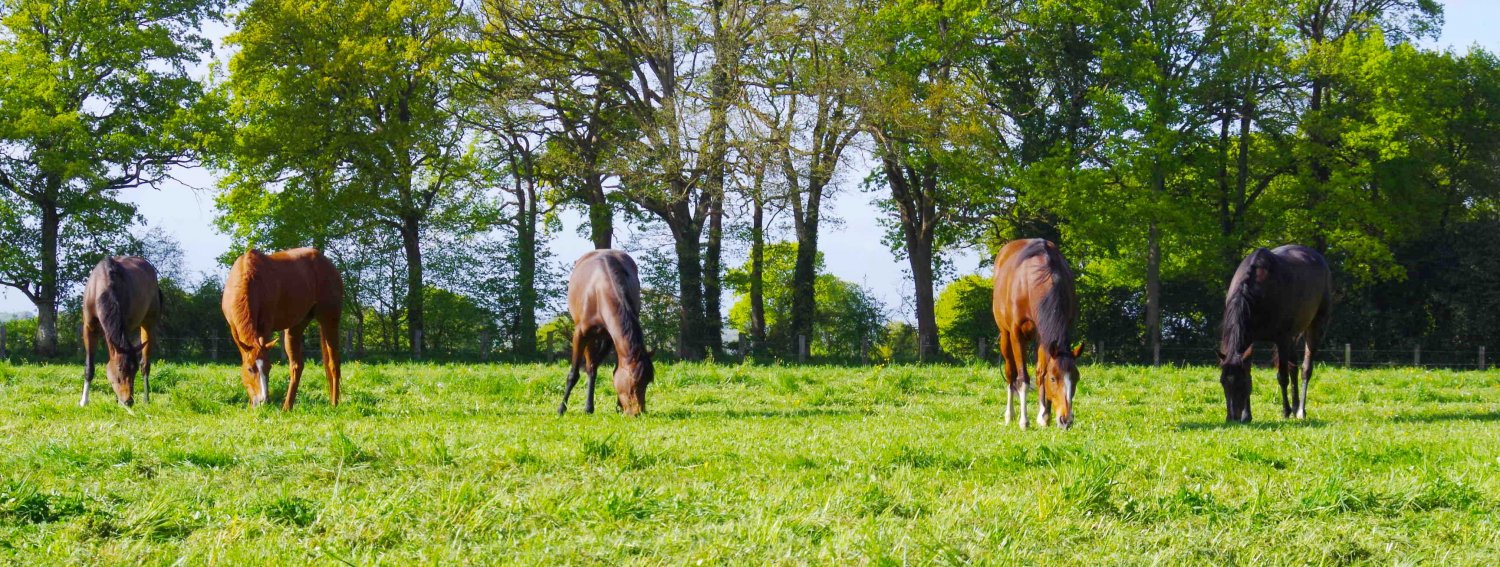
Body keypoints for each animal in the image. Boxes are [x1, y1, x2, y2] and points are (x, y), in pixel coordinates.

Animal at [80, 256, 162, 407]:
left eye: (134, 371)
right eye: (120, 369)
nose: (128, 401)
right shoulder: (89, 327)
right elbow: (89, 366)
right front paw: (84, 401)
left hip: (148, 324)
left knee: (145, 365)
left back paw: (146, 399)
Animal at [221, 248, 344, 410]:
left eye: (269, 367)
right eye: (250, 369)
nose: (264, 401)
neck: (247, 277)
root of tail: (328, 265)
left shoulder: (265, 328)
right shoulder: (233, 328)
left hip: (329, 321)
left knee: (333, 363)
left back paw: (334, 404)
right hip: (295, 327)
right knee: (297, 366)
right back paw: (287, 407)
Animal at [558, 249, 654, 416]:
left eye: (647, 383)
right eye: (633, 383)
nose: (637, 413)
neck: (599, 291)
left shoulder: (611, 338)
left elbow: (614, 370)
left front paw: (619, 406)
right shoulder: (580, 335)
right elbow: (573, 374)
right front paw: (561, 408)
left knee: (593, 366)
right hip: (589, 338)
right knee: (590, 366)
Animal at [992, 239, 1084, 430]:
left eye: (1076, 378)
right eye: (1054, 379)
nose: (1066, 420)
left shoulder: (1045, 337)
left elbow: (1041, 372)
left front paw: (1044, 416)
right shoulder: (1017, 334)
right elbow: (1023, 379)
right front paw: (1024, 421)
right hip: (1005, 335)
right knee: (1011, 373)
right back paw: (1010, 415)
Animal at [1217, 245, 1333, 423]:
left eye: (1239, 383)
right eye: (1223, 382)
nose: (1232, 418)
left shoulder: (1282, 339)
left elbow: (1282, 377)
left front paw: (1285, 412)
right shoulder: (1250, 340)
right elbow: (1250, 372)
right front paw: (1247, 415)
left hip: (1315, 326)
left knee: (1305, 369)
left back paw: (1300, 410)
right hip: (1293, 337)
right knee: (1294, 368)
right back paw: (1295, 406)